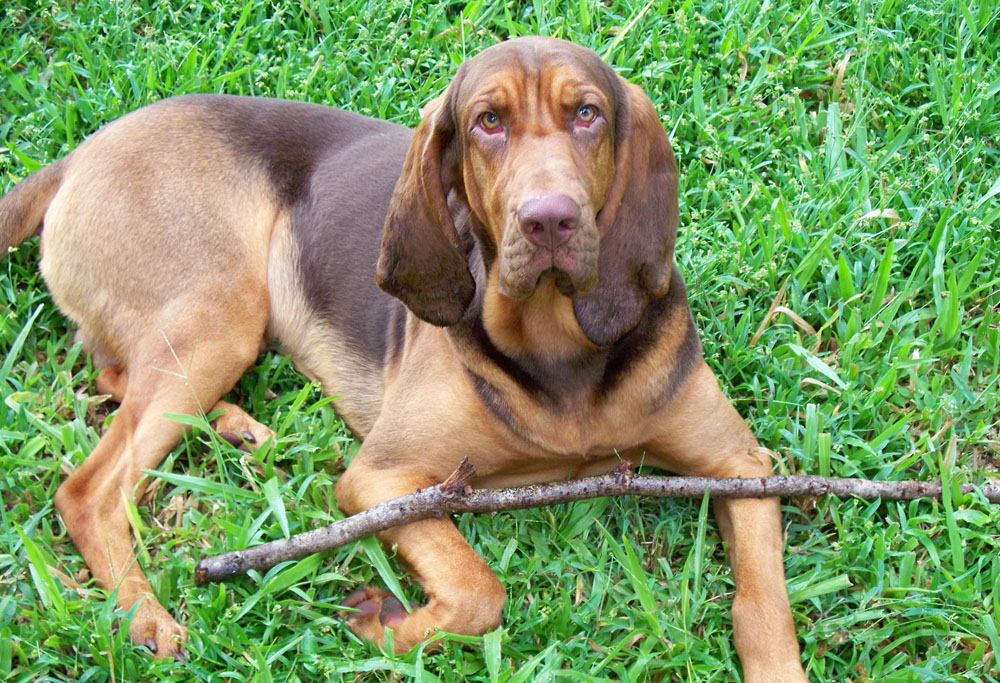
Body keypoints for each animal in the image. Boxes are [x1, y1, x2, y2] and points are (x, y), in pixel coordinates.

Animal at [0, 36, 808, 680]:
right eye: (488, 122)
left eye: (588, 115)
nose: (549, 219)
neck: (558, 352)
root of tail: (81, 152)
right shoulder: (382, 478)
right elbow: (481, 590)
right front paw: (381, 622)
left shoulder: (742, 466)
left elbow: (765, 605)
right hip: (218, 314)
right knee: (89, 489)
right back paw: (146, 618)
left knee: (112, 376)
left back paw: (236, 428)